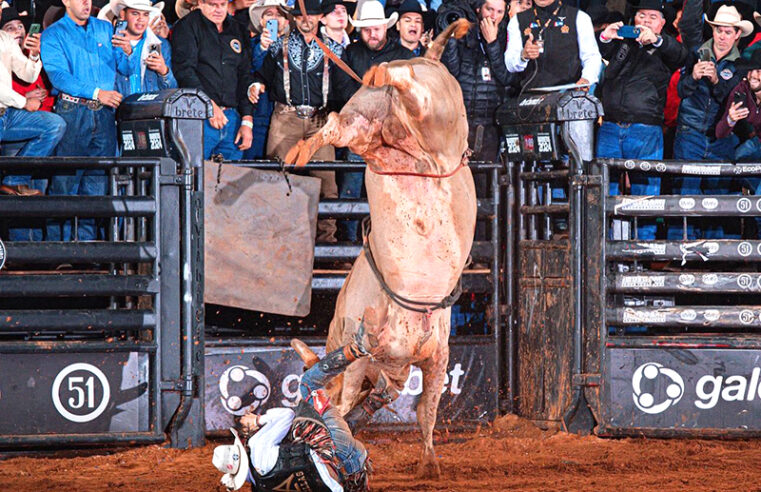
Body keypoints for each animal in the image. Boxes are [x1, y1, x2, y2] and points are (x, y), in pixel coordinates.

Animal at [284, 20, 476, 476]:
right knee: (377, 107)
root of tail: (429, 59)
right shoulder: (389, 359)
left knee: (358, 114)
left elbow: (424, 410)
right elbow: (408, 404)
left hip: (402, 116)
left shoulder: (434, 358)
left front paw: (428, 462)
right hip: (404, 120)